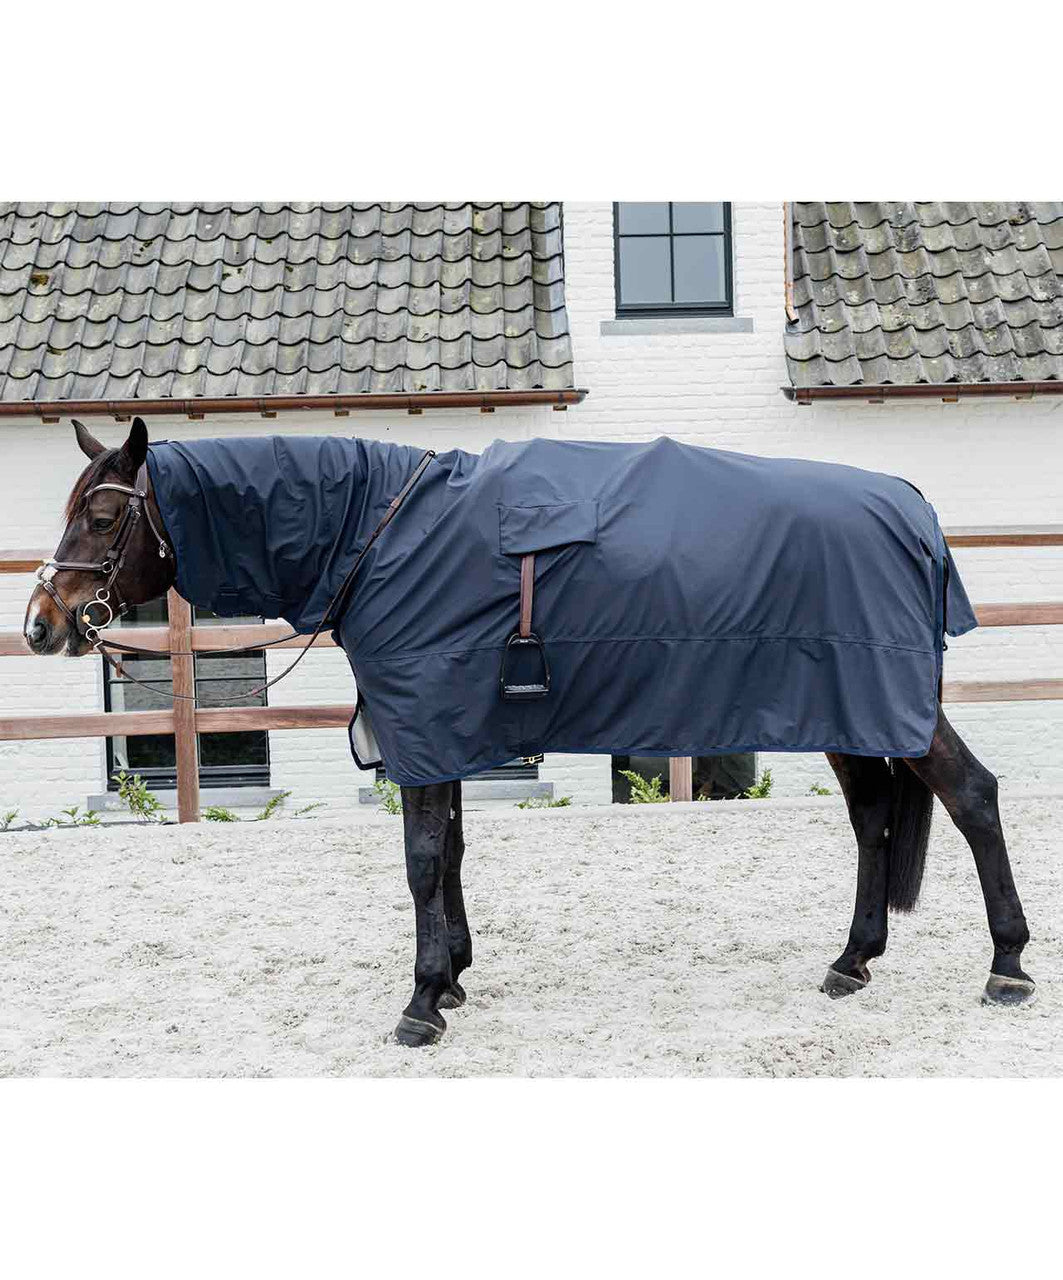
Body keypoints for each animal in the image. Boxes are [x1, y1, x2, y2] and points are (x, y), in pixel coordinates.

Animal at [23, 417, 1035, 1047]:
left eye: (103, 515)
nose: (41, 624)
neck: (377, 534)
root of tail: (910, 505)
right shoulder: (438, 728)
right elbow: (451, 854)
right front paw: (454, 976)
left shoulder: (424, 722)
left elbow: (421, 861)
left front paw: (422, 1000)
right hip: (849, 712)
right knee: (871, 820)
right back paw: (852, 961)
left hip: (880, 702)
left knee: (970, 797)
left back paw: (1006, 967)